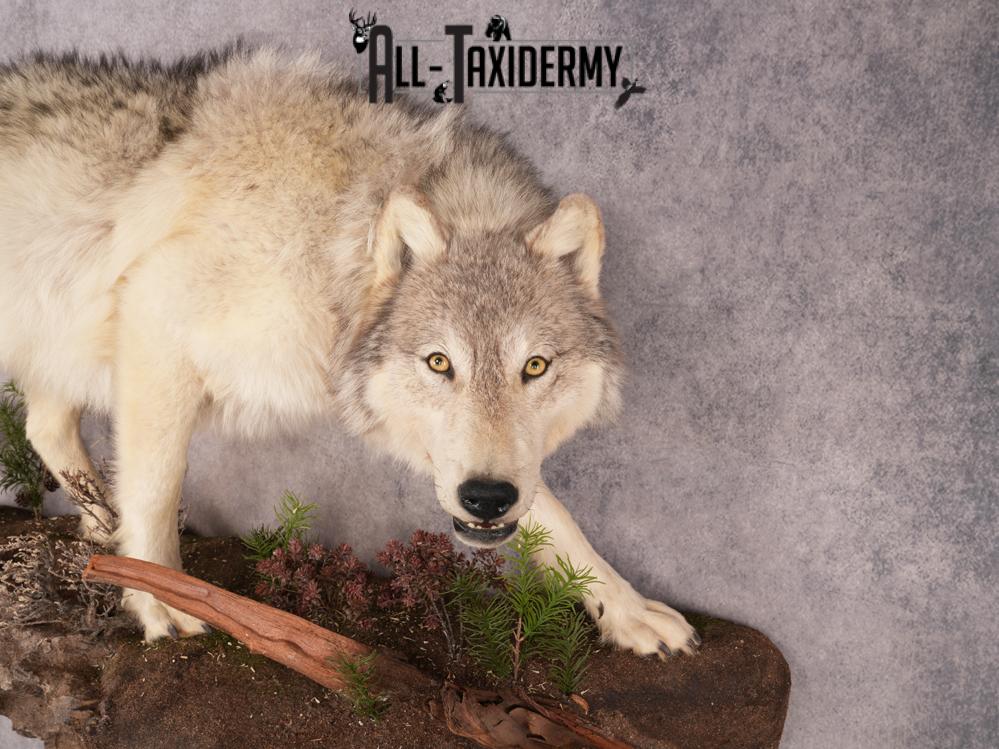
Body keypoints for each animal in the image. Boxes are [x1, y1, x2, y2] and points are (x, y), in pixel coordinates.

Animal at [0, 47, 699, 656]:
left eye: (535, 367)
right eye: (440, 363)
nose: (486, 498)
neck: (330, 238)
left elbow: (554, 513)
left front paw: (627, 610)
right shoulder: (155, 323)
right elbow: (156, 487)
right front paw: (159, 598)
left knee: (44, 428)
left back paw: (100, 528)